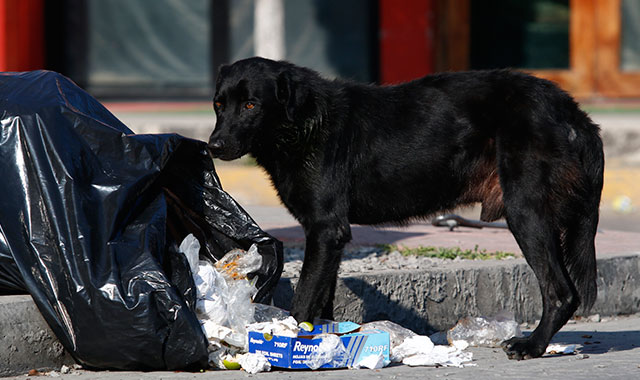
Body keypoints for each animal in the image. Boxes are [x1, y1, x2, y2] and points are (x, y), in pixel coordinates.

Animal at [206, 57, 604, 360]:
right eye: (219, 105)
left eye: (251, 105)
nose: (214, 146)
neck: (304, 124)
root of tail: (571, 109)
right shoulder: (330, 238)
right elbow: (321, 302)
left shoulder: (324, 229)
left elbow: (303, 299)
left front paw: (284, 342)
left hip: (525, 213)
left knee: (561, 291)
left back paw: (532, 346)